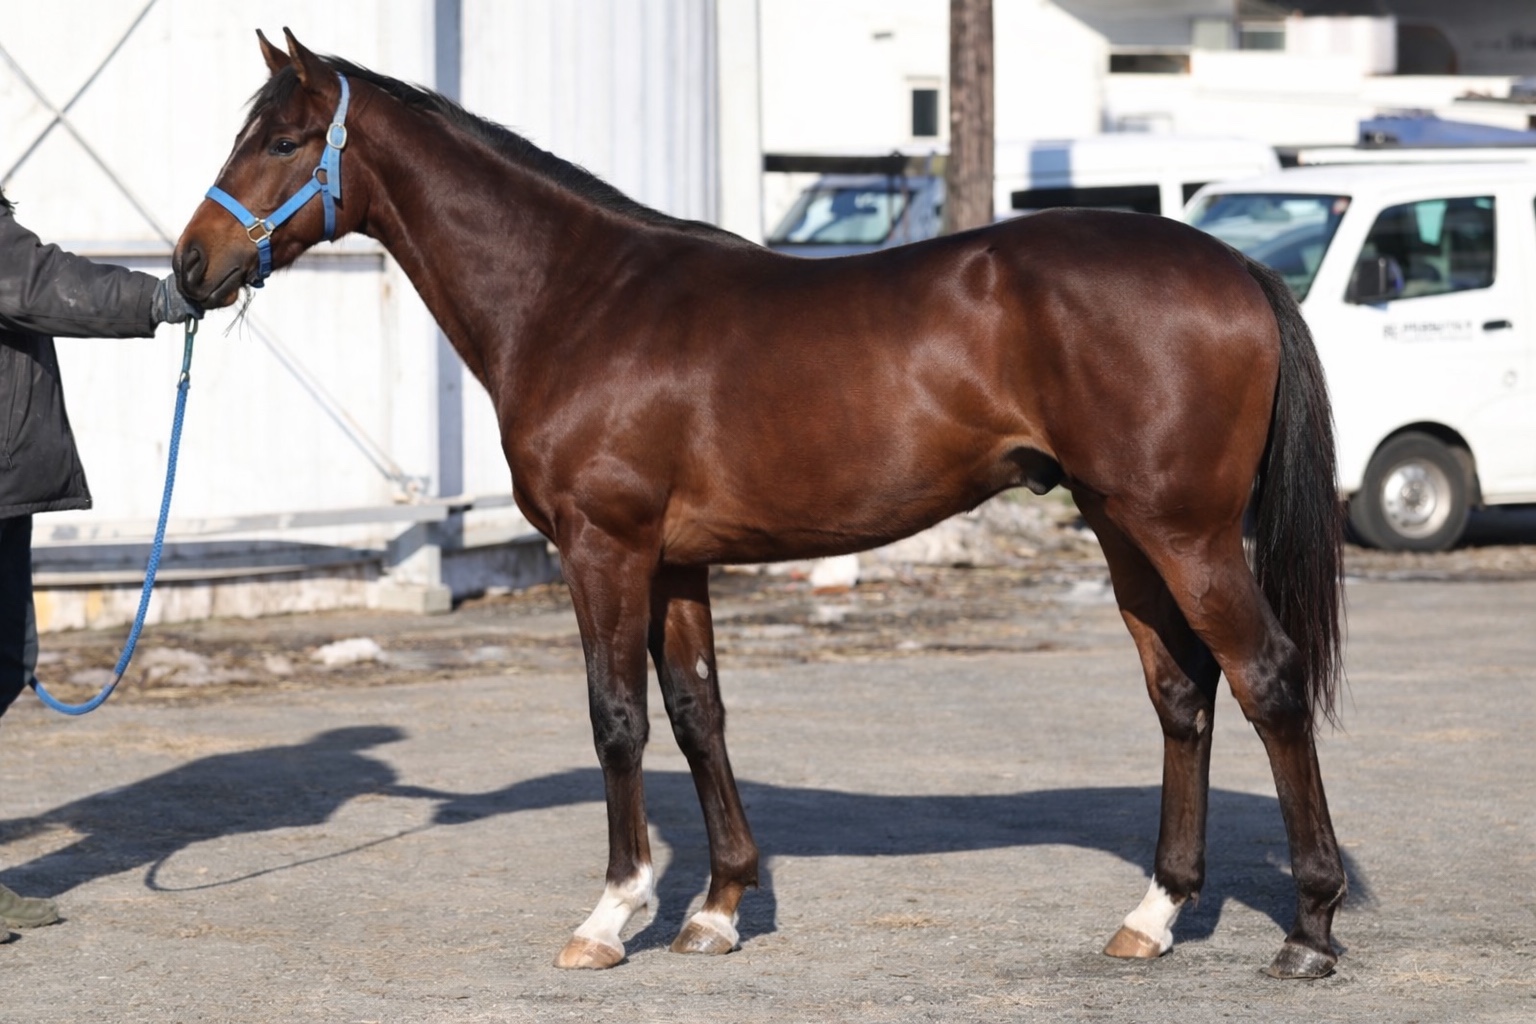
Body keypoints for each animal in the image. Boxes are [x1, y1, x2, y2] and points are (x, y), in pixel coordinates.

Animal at [174, 29, 1347, 979]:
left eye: (285, 140)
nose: (190, 265)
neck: (577, 299)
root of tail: (1236, 266)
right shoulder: (676, 560)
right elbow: (699, 715)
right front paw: (717, 908)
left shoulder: (604, 548)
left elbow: (616, 717)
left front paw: (612, 915)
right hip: (1121, 525)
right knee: (1182, 694)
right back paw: (1154, 915)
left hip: (1185, 530)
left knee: (1268, 680)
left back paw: (1309, 927)